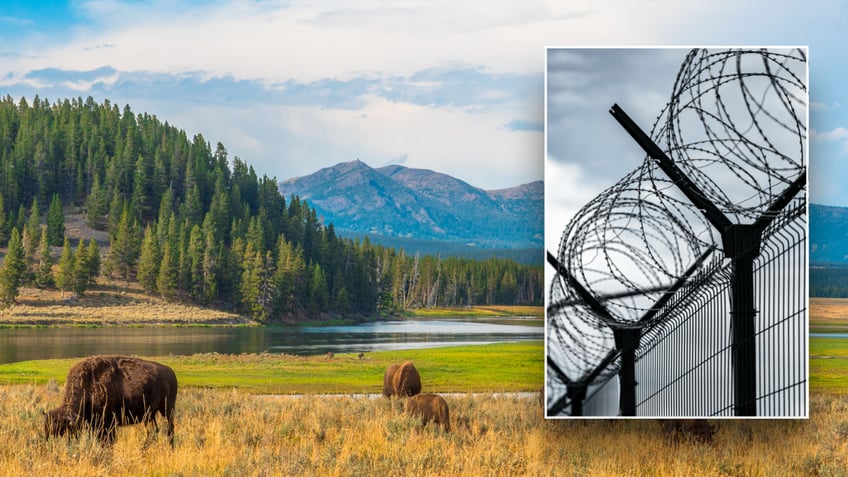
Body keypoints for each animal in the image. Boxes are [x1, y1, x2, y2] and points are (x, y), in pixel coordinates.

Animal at [44, 354, 177, 446]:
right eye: (48, 431)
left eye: (63, 431)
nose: (53, 445)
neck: (88, 385)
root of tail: (171, 372)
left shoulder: (107, 424)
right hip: (151, 415)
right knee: (154, 430)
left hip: (167, 410)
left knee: (170, 429)